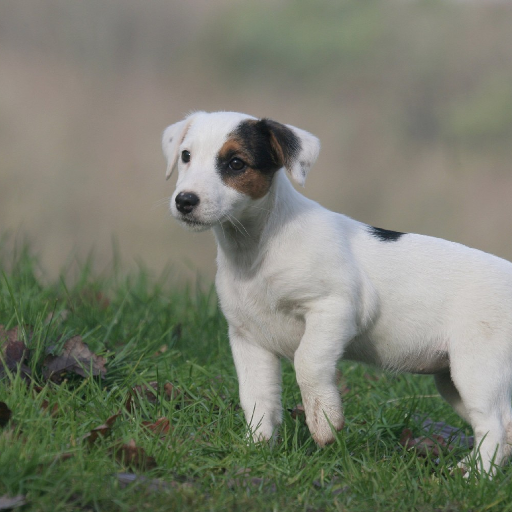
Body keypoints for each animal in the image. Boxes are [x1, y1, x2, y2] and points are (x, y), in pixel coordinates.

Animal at [162, 110, 512, 474]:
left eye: (235, 163)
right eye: (186, 156)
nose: (184, 201)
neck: (258, 247)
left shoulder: (334, 306)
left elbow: (307, 361)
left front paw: (324, 420)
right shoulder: (248, 339)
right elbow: (258, 399)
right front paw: (256, 448)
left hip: (477, 367)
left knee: (495, 426)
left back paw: (474, 476)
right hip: (451, 379)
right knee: (506, 427)